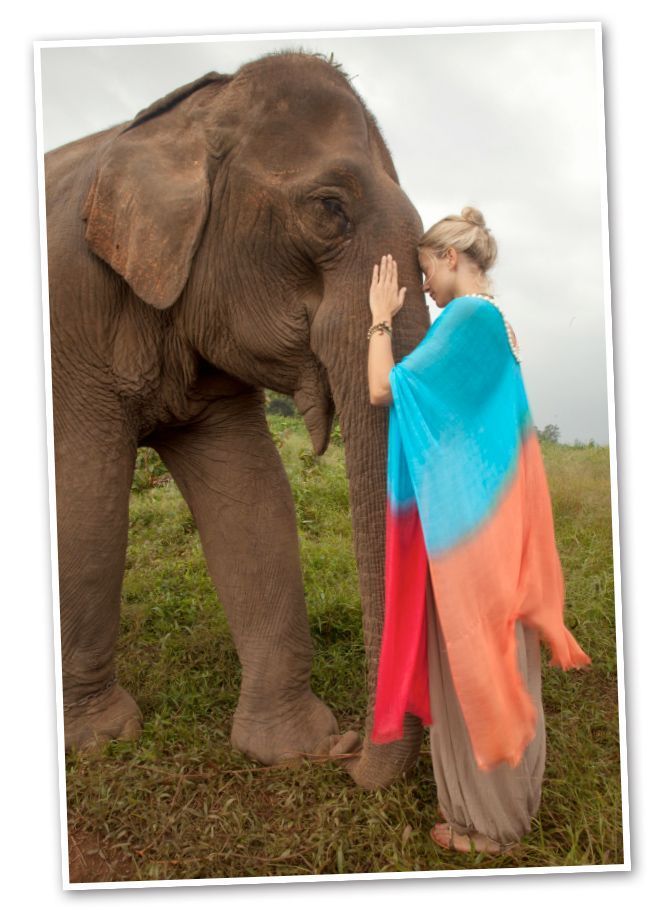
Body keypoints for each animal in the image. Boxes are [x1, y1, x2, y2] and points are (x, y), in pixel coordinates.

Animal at [45, 50, 430, 788]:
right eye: (330, 210)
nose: (349, 752)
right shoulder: (69, 312)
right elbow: (85, 499)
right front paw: (100, 741)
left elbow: (252, 498)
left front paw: (291, 746)